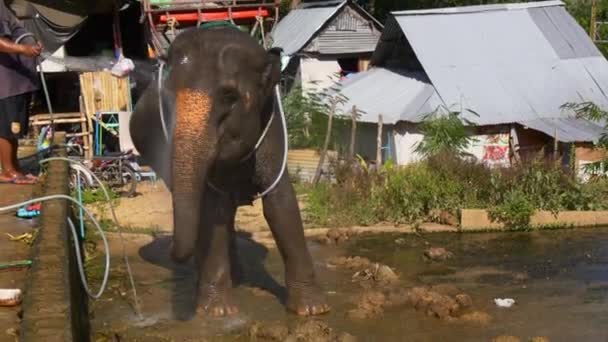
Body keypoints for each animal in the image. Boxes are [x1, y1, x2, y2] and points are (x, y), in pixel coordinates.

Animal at [127, 25, 328, 316]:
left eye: (229, 96)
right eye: (168, 99)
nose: (175, 253)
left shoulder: (272, 127)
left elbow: (281, 205)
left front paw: (312, 309)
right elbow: (214, 208)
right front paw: (217, 311)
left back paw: (236, 276)